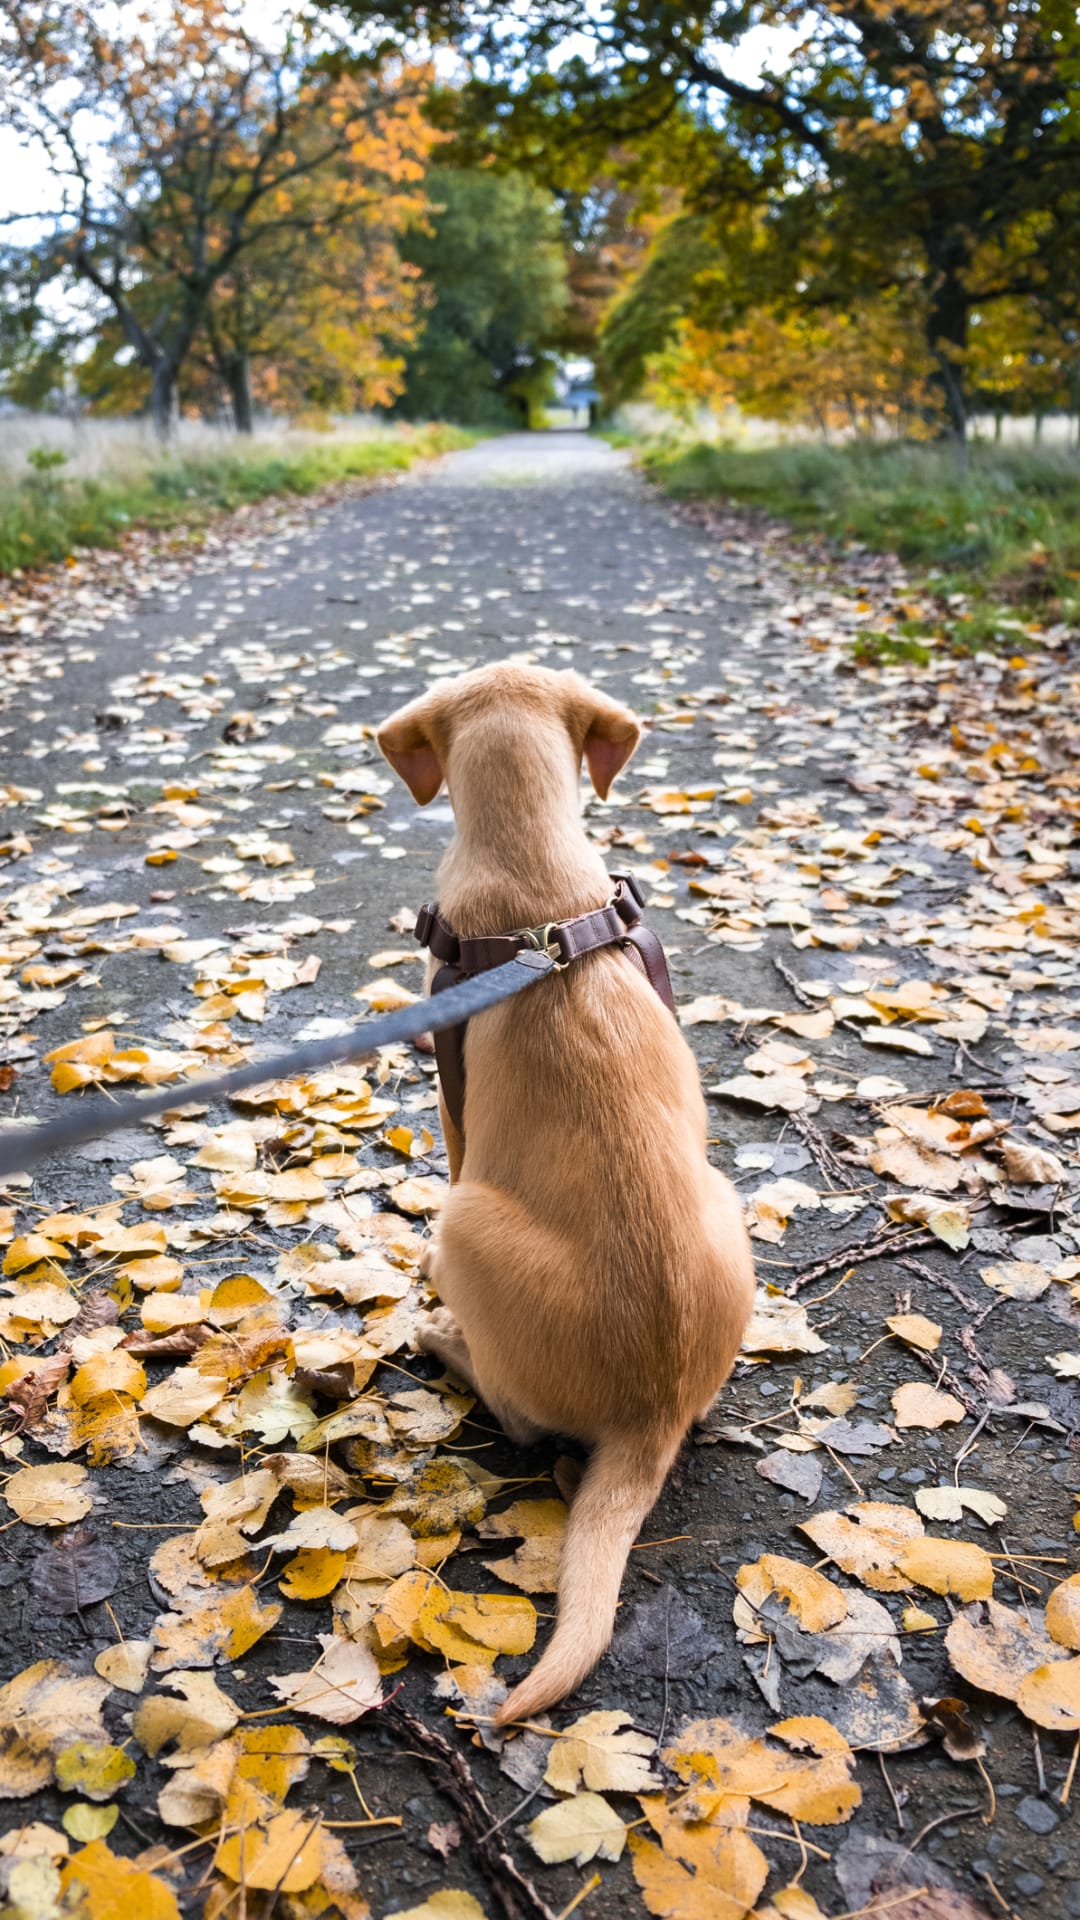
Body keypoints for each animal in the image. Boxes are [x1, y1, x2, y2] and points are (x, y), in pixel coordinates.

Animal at [374, 664, 753, 1728]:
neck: (540, 891)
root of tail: (651, 1416)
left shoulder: (451, 1088)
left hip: (472, 1227)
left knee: (517, 1415)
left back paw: (444, 1338)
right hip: (726, 1199)